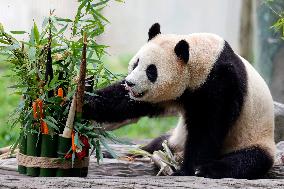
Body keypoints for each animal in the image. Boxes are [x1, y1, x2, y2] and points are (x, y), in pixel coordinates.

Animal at [83, 23, 276, 179]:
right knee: (159, 143)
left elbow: (208, 127)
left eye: (151, 71)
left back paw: (207, 169)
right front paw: (84, 98)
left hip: (253, 138)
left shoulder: (222, 82)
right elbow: (123, 102)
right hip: (174, 139)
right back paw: (133, 152)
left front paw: (187, 169)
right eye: (136, 63)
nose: (130, 83)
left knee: (248, 160)